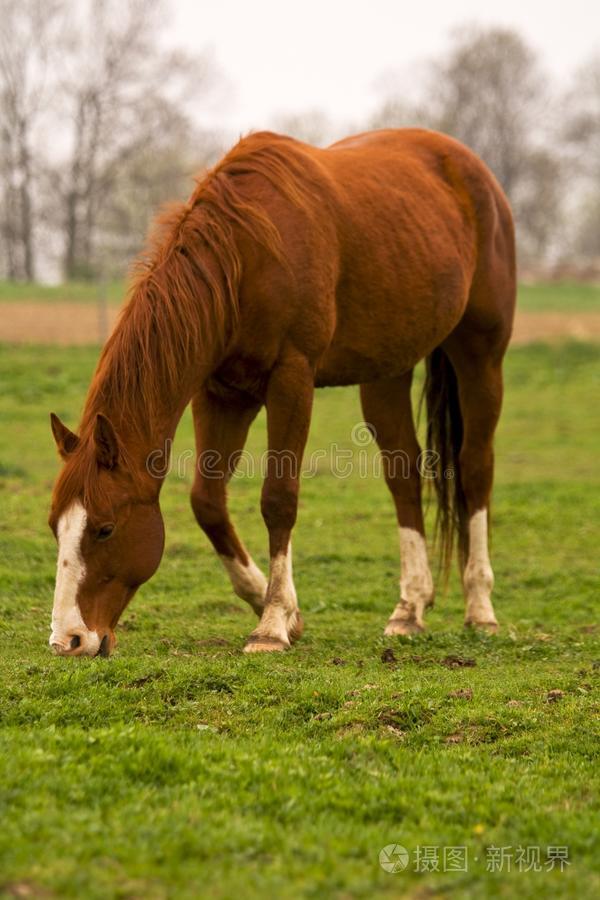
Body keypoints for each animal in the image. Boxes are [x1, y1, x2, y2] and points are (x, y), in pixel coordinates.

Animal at [48, 127, 515, 657]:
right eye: (55, 526)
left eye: (105, 528)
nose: (68, 638)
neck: (245, 258)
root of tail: (469, 167)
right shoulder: (220, 392)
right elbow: (207, 501)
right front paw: (281, 609)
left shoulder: (292, 378)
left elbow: (278, 499)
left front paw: (271, 624)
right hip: (387, 370)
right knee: (403, 472)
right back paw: (409, 608)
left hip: (481, 355)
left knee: (475, 467)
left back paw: (481, 608)